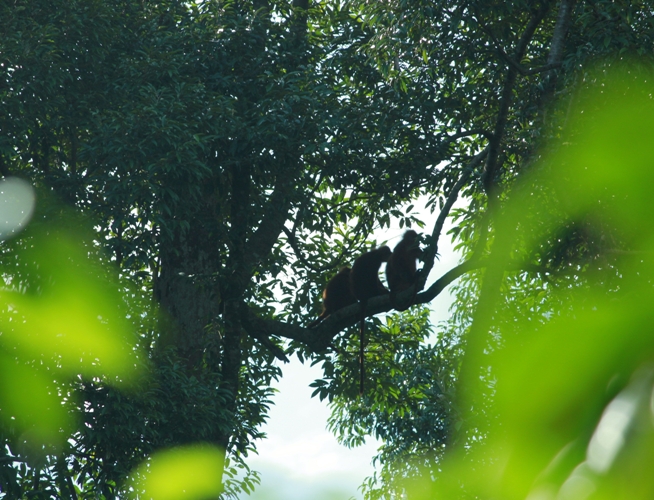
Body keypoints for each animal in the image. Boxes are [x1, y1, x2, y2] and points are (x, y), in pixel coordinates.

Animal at [352, 245, 392, 394]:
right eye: (388, 253)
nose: (391, 255)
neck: (375, 253)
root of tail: (361, 297)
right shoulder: (375, 262)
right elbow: (373, 278)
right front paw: (385, 291)